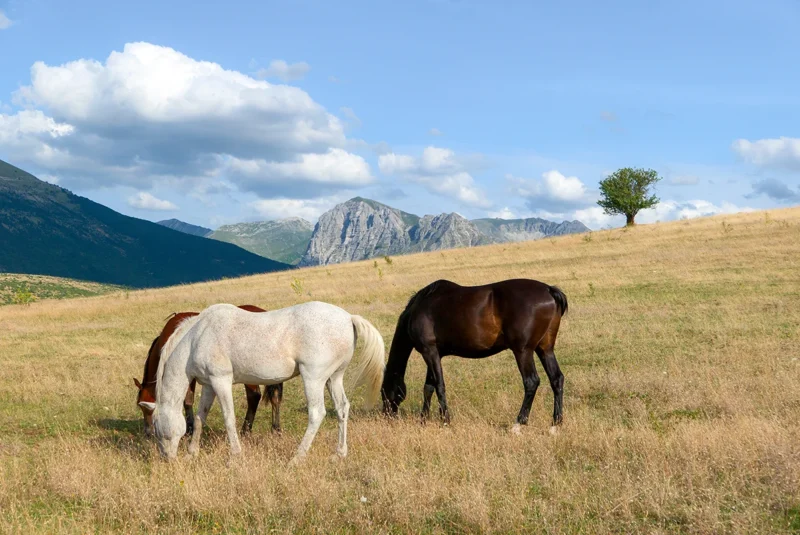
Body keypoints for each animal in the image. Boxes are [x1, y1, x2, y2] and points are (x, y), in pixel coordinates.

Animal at [133, 305, 284, 437]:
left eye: (143, 406)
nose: (148, 432)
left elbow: (187, 400)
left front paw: (189, 429)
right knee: (275, 397)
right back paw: (275, 429)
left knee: (254, 397)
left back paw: (245, 431)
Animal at [153, 302, 386, 462]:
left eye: (155, 427)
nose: (167, 459)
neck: (197, 337)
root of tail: (348, 318)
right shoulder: (209, 385)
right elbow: (201, 417)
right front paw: (192, 453)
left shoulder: (221, 381)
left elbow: (229, 418)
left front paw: (235, 456)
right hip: (333, 378)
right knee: (342, 408)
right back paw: (339, 454)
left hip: (313, 378)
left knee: (317, 413)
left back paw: (296, 458)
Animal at [380, 278, 568, 433]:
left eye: (383, 390)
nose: (386, 416)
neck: (418, 309)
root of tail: (549, 290)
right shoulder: (434, 354)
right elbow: (429, 387)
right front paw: (423, 420)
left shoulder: (429, 352)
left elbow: (439, 386)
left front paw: (445, 421)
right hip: (545, 349)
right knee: (556, 379)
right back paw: (555, 425)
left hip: (523, 351)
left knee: (531, 382)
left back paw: (518, 424)